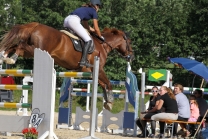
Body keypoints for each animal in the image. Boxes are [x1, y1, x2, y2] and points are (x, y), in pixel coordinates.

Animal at [0, 22, 134, 111]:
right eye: (129, 42)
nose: (131, 57)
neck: (102, 45)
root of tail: (35, 25)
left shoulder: (92, 71)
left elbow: (103, 84)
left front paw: (108, 102)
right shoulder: (98, 69)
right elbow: (108, 83)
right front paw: (110, 101)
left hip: (30, 51)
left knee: (14, 46)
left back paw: (4, 55)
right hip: (34, 49)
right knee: (20, 45)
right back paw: (11, 58)